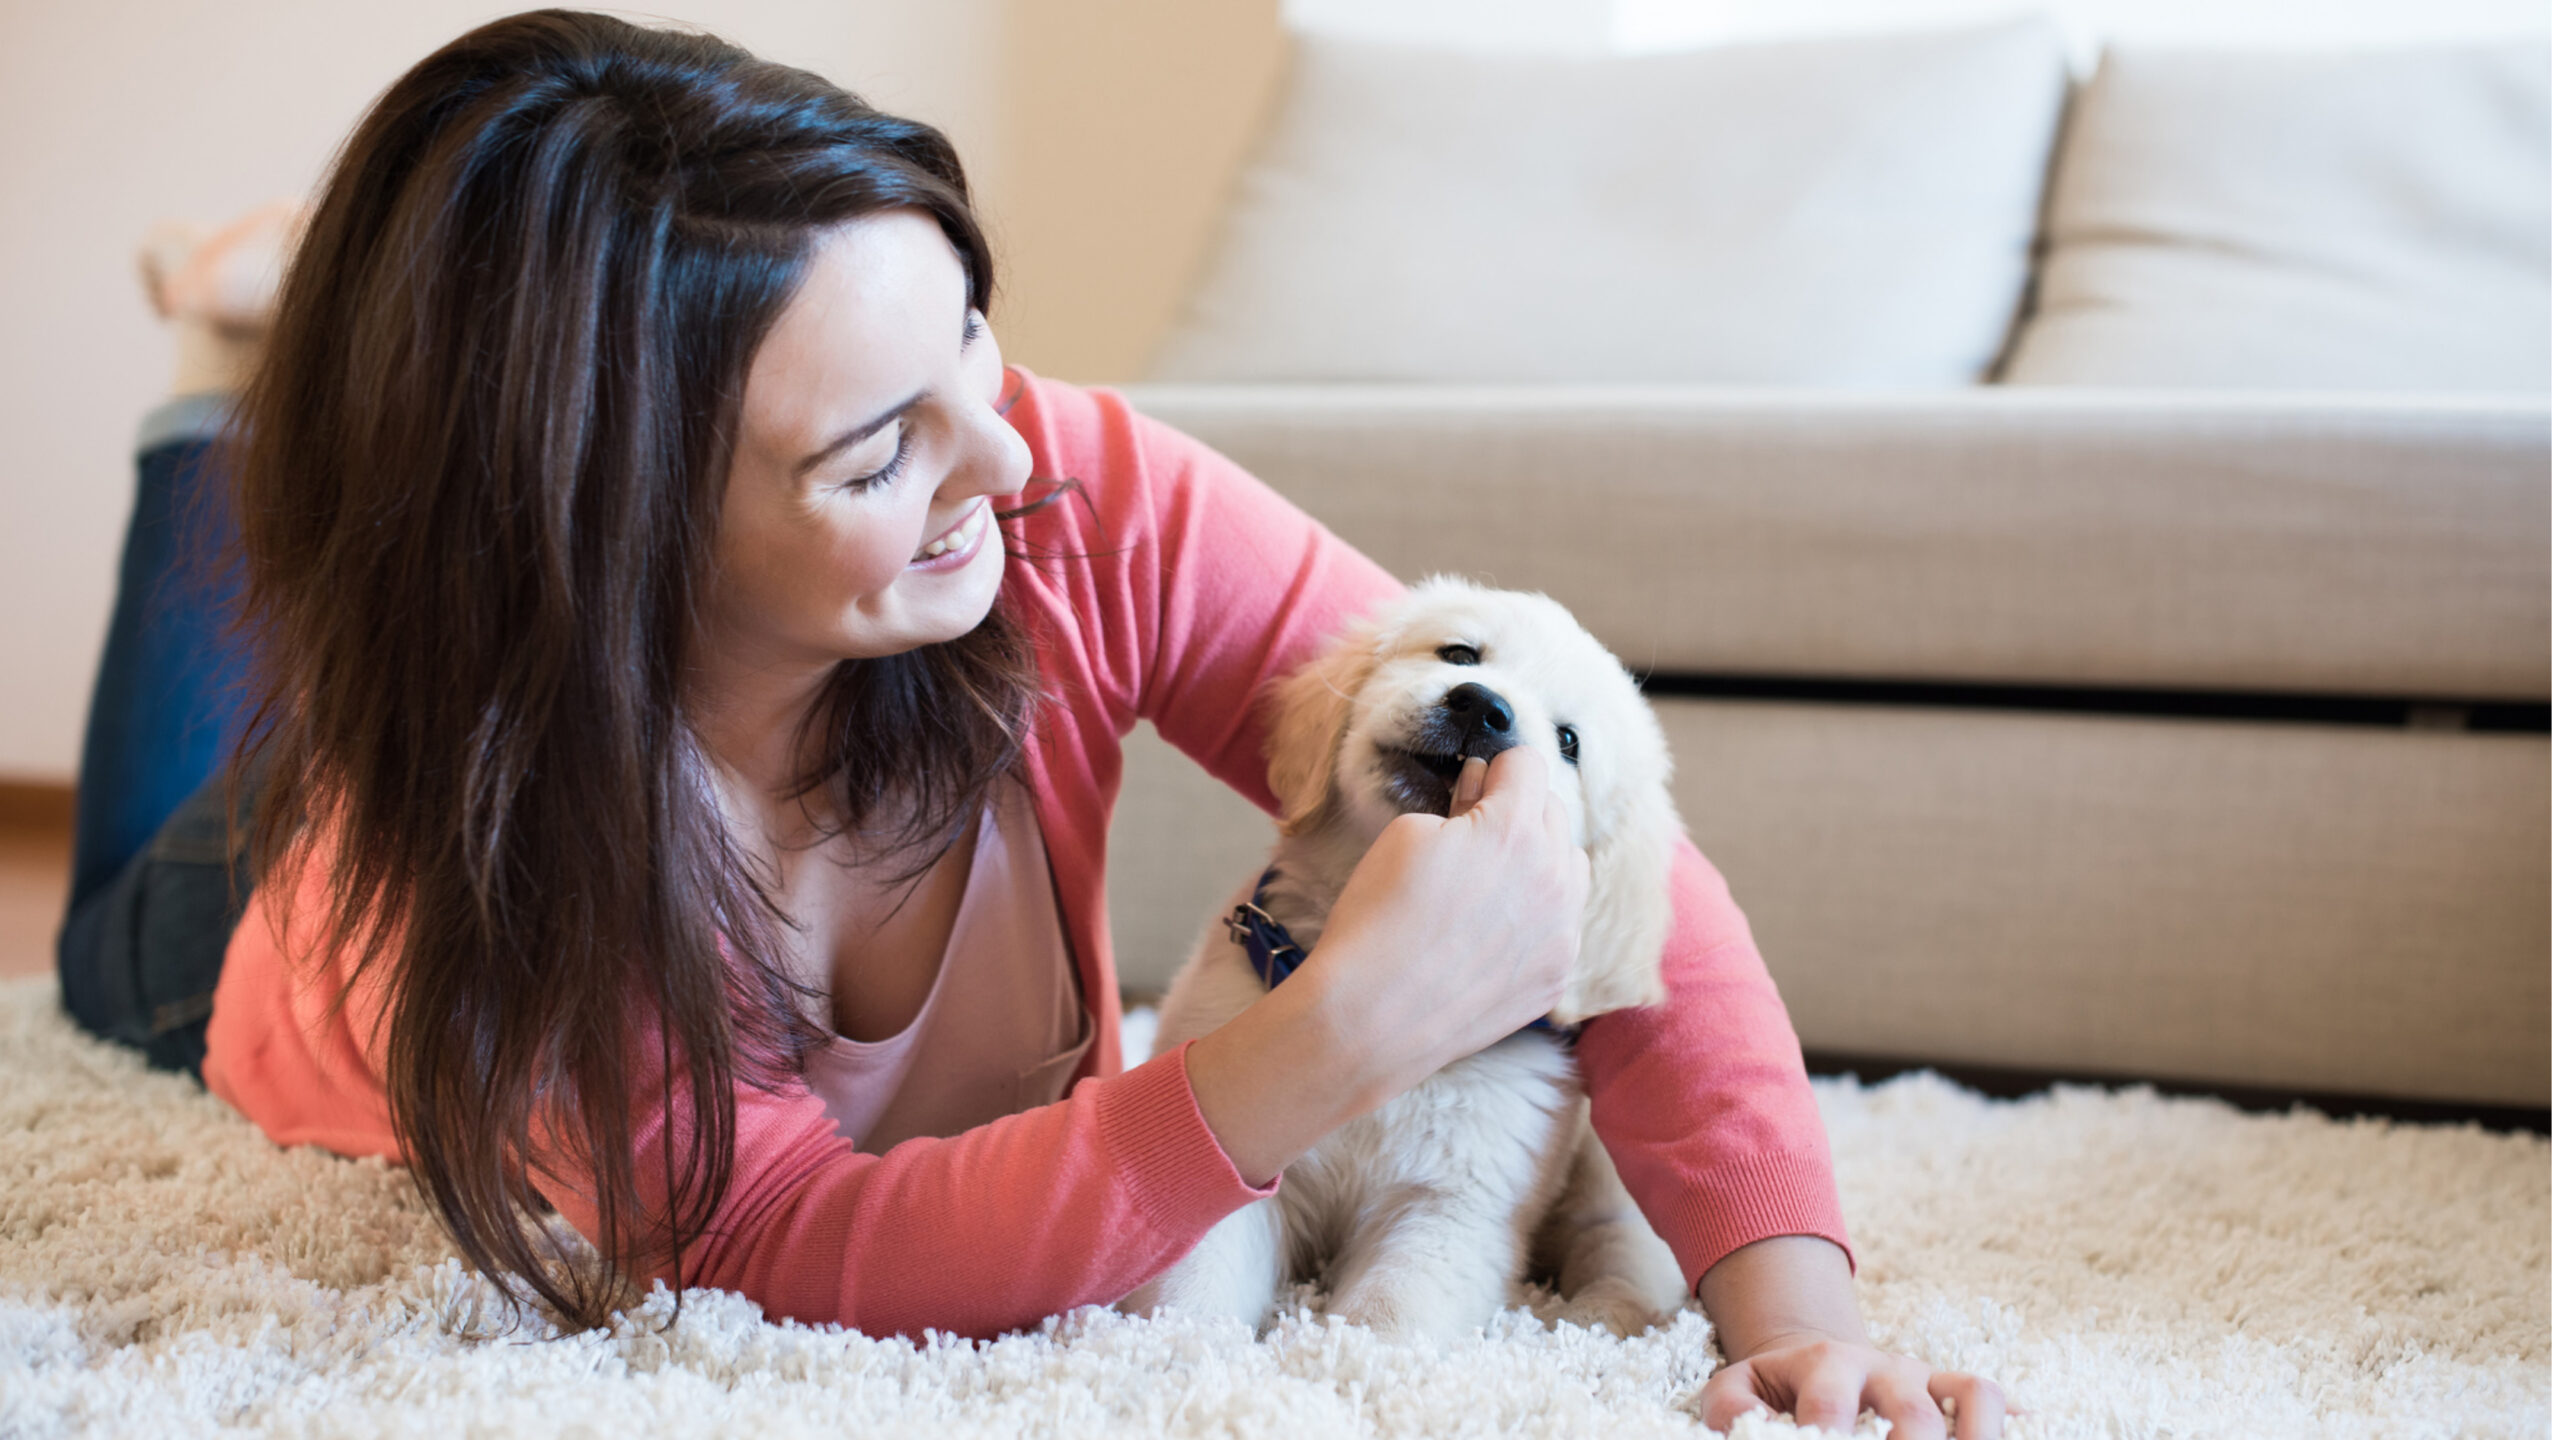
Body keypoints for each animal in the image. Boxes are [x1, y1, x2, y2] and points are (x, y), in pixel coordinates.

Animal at [1126, 576, 1689, 1342]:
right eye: (1459, 653)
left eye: (1569, 742)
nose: (1482, 708)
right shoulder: (1245, 1175)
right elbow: (1192, 1286)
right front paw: (1174, 1352)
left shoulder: (1454, 1206)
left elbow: (1390, 1315)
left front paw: (1339, 1358)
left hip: (1606, 1172)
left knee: (1624, 1249)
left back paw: (1594, 1320)